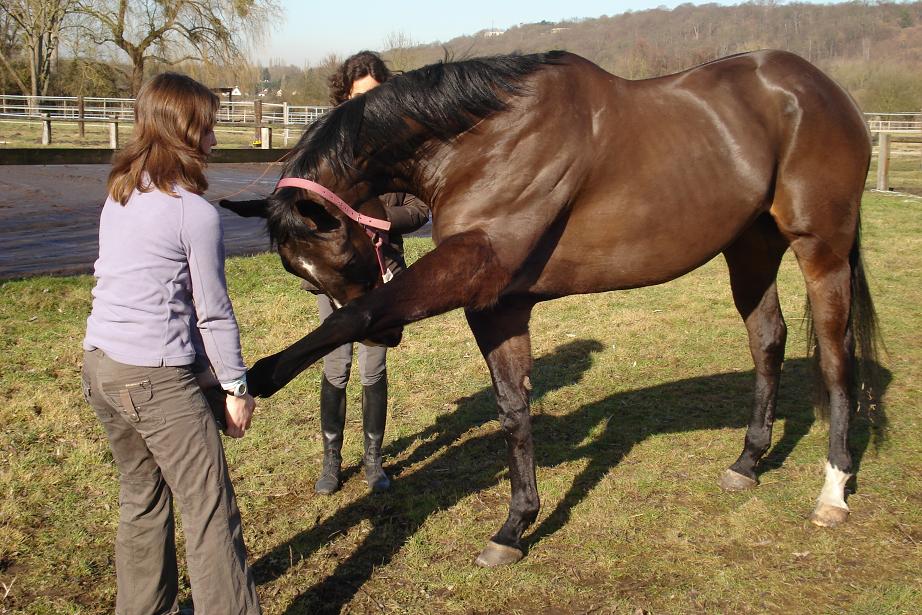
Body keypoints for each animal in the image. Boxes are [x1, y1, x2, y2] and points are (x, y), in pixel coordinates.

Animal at [223, 50, 876, 572]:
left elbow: (350, 318)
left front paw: (255, 378)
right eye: (300, 272)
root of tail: (822, 88)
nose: (388, 344)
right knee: (768, 339)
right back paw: (747, 461)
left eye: (338, 253)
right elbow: (514, 410)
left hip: (821, 249)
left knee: (836, 356)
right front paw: (515, 527)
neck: (479, 141)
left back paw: (833, 491)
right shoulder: (500, 305)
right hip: (750, 247)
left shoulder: (474, 271)